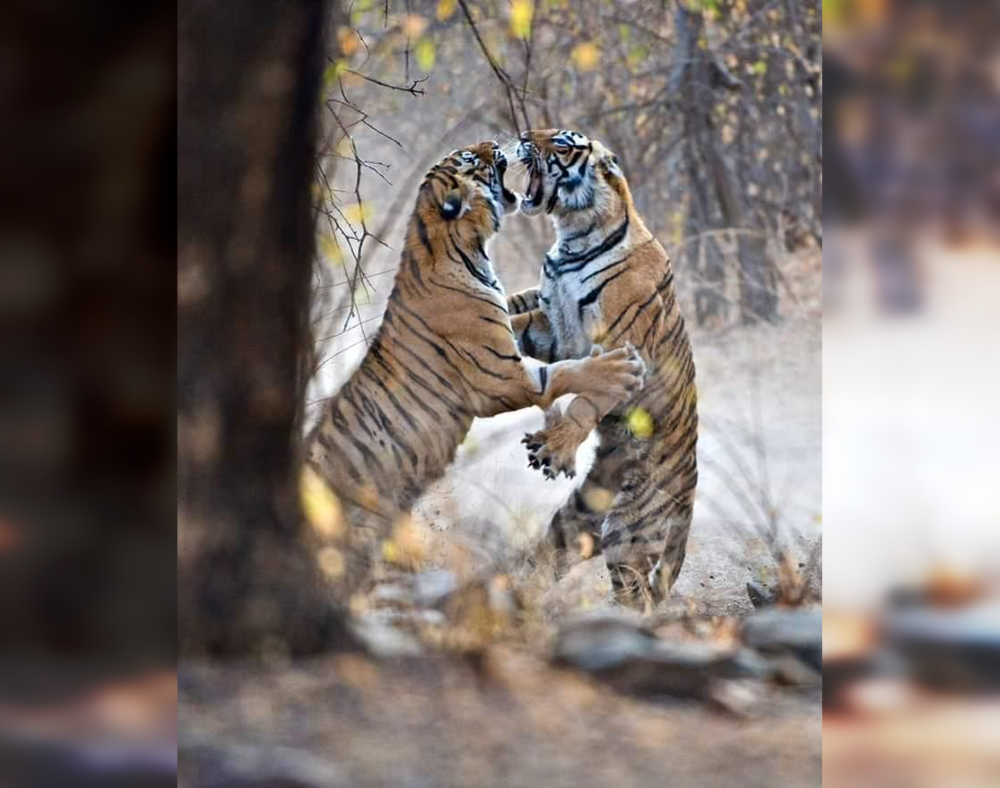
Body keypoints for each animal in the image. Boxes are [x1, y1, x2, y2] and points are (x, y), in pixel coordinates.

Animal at [306, 142, 648, 596]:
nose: (496, 144)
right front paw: (619, 368)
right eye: (470, 160)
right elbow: (565, 372)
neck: (454, 243)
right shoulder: (501, 377)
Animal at [508, 131, 696, 608]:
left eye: (560, 144)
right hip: (582, 515)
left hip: (629, 528)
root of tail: (690, 493)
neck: (572, 238)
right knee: (555, 552)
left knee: (639, 596)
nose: (522, 137)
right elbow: (517, 325)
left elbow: (588, 398)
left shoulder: (621, 345)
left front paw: (557, 443)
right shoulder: (554, 327)